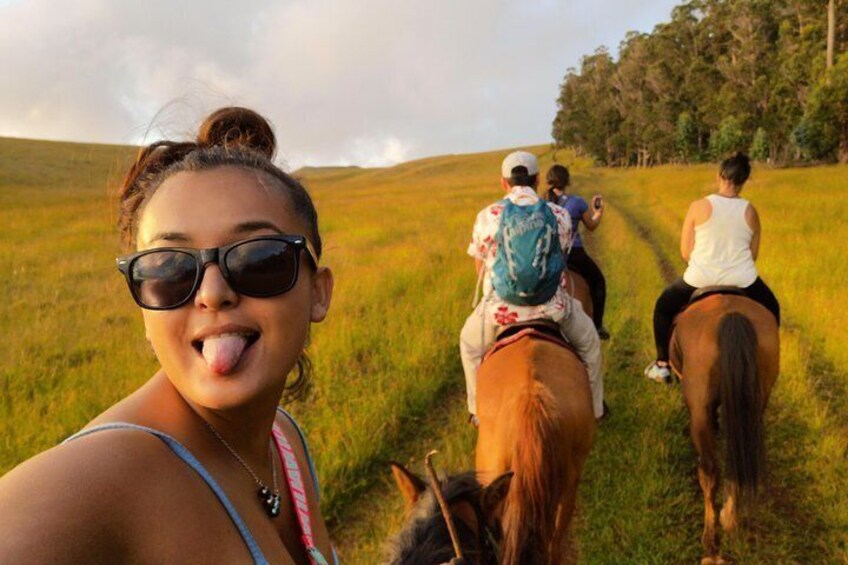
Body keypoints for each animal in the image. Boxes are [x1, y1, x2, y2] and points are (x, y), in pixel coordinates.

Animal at [672, 294, 780, 560]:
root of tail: (732, 316)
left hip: (699, 407)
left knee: (709, 470)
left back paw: (711, 544)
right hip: (756, 402)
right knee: (737, 457)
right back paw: (730, 518)